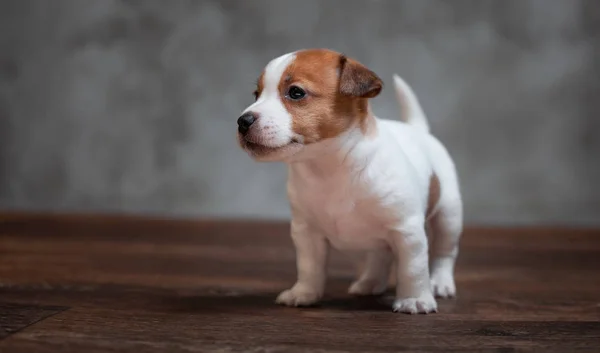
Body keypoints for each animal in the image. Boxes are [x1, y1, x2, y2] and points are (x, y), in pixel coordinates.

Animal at [237, 47, 462, 314]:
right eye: (256, 94)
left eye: (295, 92)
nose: (242, 121)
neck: (330, 167)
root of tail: (418, 130)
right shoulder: (306, 233)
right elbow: (309, 267)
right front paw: (304, 293)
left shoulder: (407, 231)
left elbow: (412, 269)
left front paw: (414, 298)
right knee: (380, 255)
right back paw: (370, 282)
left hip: (448, 216)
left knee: (444, 252)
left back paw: (440, 282)